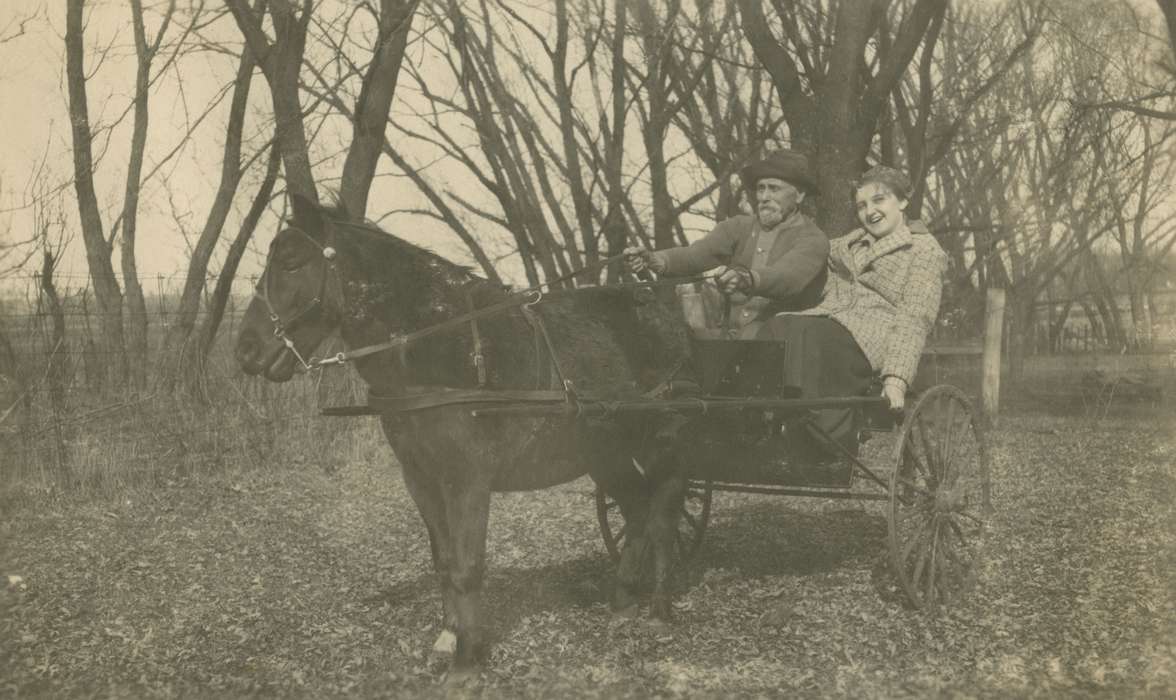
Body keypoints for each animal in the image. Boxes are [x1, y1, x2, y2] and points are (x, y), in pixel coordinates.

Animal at [235, 194, 691, 677]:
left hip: (664, 447)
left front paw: (469, 656)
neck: (443, 351)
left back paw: (659, 609)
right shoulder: (420, 478)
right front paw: (448, 637)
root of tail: (662, 311)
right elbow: (444, 561)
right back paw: (623, 601)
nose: (245, 349)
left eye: (290, 262)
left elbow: (468, 565)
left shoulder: (467, 480)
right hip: (607, 455)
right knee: (638, 513)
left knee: (663, 519)